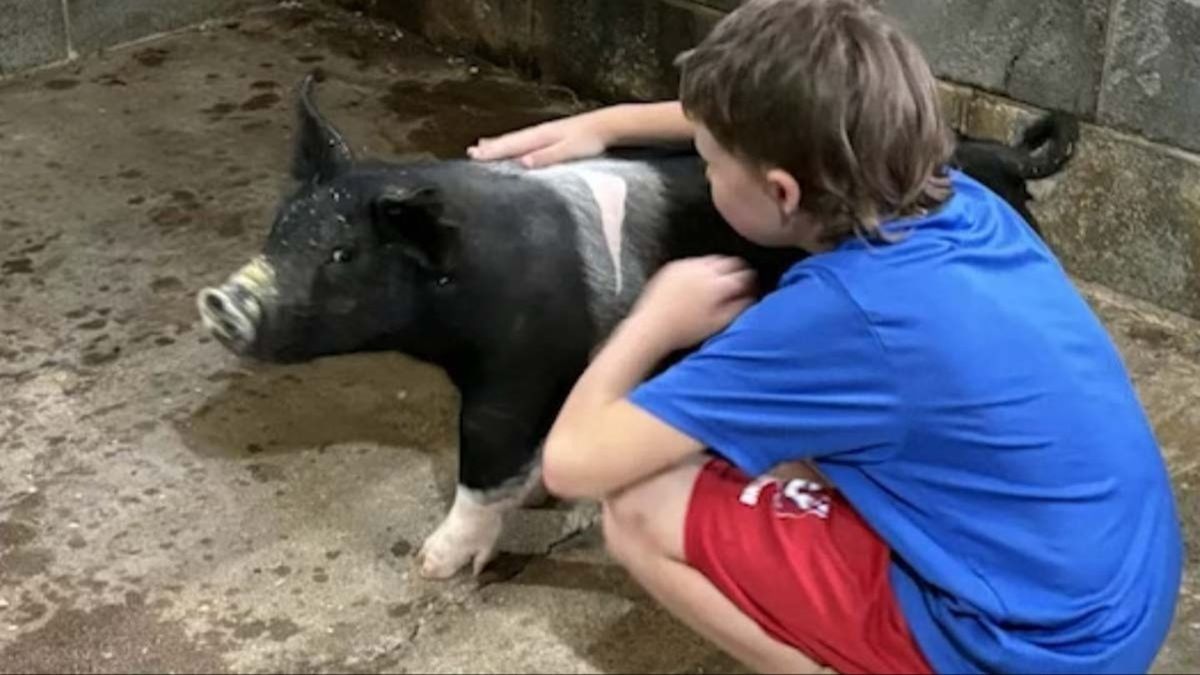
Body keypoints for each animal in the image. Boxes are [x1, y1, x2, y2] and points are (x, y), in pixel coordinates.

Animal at [198, 75, 1078, 580]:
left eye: (343, 253)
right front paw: (548, 498)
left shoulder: (513, 369)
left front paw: (431, 565)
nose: (222, 300)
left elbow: (483, 459)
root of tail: (1003, 151)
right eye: (279, 229)